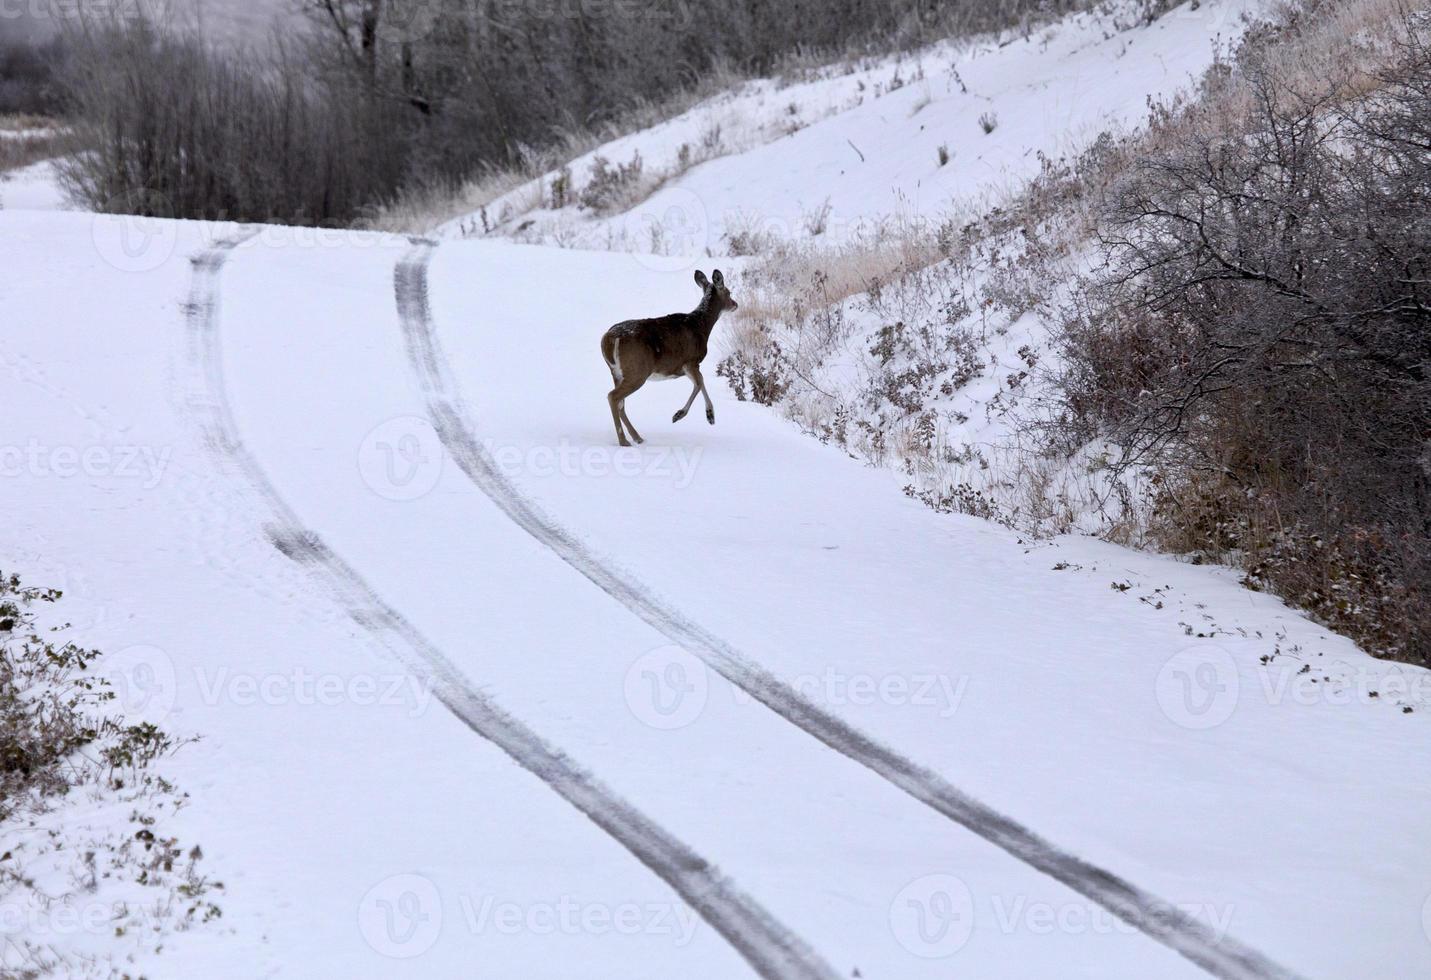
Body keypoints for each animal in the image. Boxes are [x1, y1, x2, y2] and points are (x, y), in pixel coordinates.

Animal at [601, 268, 738, 449]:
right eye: (728, 292)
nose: (735, 304)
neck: (701, 326)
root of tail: (608, 339)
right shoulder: (691, 361)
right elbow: (699, 383)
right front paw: (684, 415)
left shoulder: (688, 366)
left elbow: (700, 382)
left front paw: (707, 415)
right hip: (637, 371)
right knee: (613, 397)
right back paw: (624, 441)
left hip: (617, 372)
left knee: (620, 403)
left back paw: (637, 437)